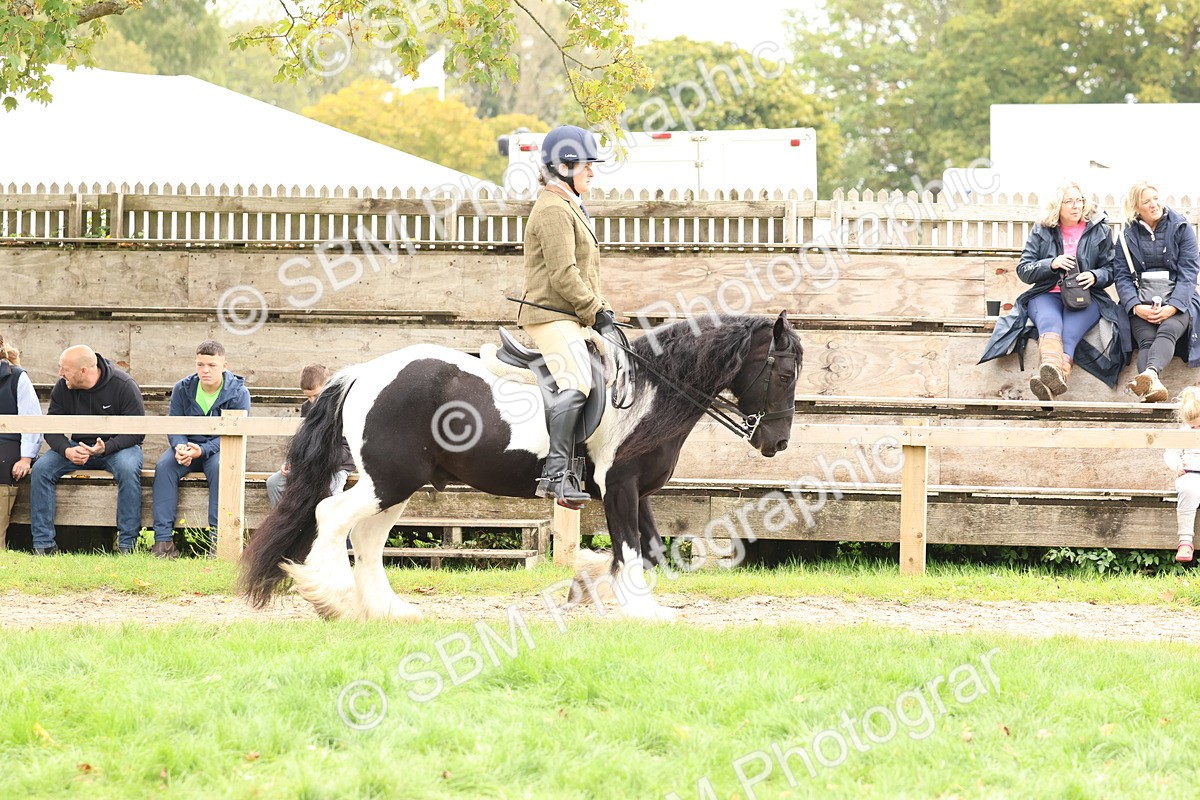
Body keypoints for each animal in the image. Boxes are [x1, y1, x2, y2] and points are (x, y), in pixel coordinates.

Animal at [240, 311, 802, 621]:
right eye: (786, 373)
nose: (776, 442)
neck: (648, 391)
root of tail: (363, 372)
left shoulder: (638, 491)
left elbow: (648, 548)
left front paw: (598, 587)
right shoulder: (620, 486)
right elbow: (629, 549)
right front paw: (640, 610)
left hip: (395, 484)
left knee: (367, 537)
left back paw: (389, 610)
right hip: (387, 481)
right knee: (332, 517)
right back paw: (333, 600)